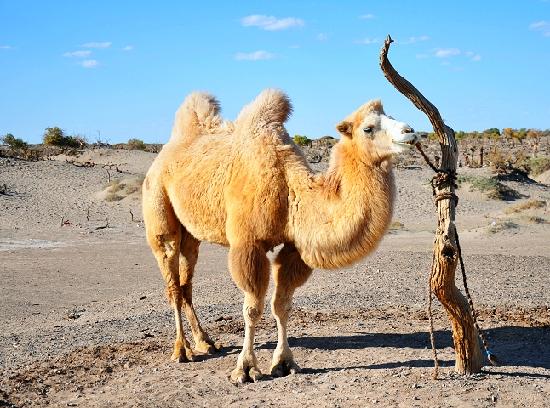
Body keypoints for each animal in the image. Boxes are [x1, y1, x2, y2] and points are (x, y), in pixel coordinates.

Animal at [143, 88, 422, 382]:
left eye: (392, 116)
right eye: (368, 128)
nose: (410, 132)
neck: (290, 189)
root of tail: (166, 151)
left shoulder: (293, 247)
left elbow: (282, 305)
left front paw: (284, 362)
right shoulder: (249, 243)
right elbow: (252, 308)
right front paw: (245, 368)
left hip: (191, 234)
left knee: (187, 283)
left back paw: (205, 342)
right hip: (159, 210)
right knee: (172, 281)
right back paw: (182, 350)